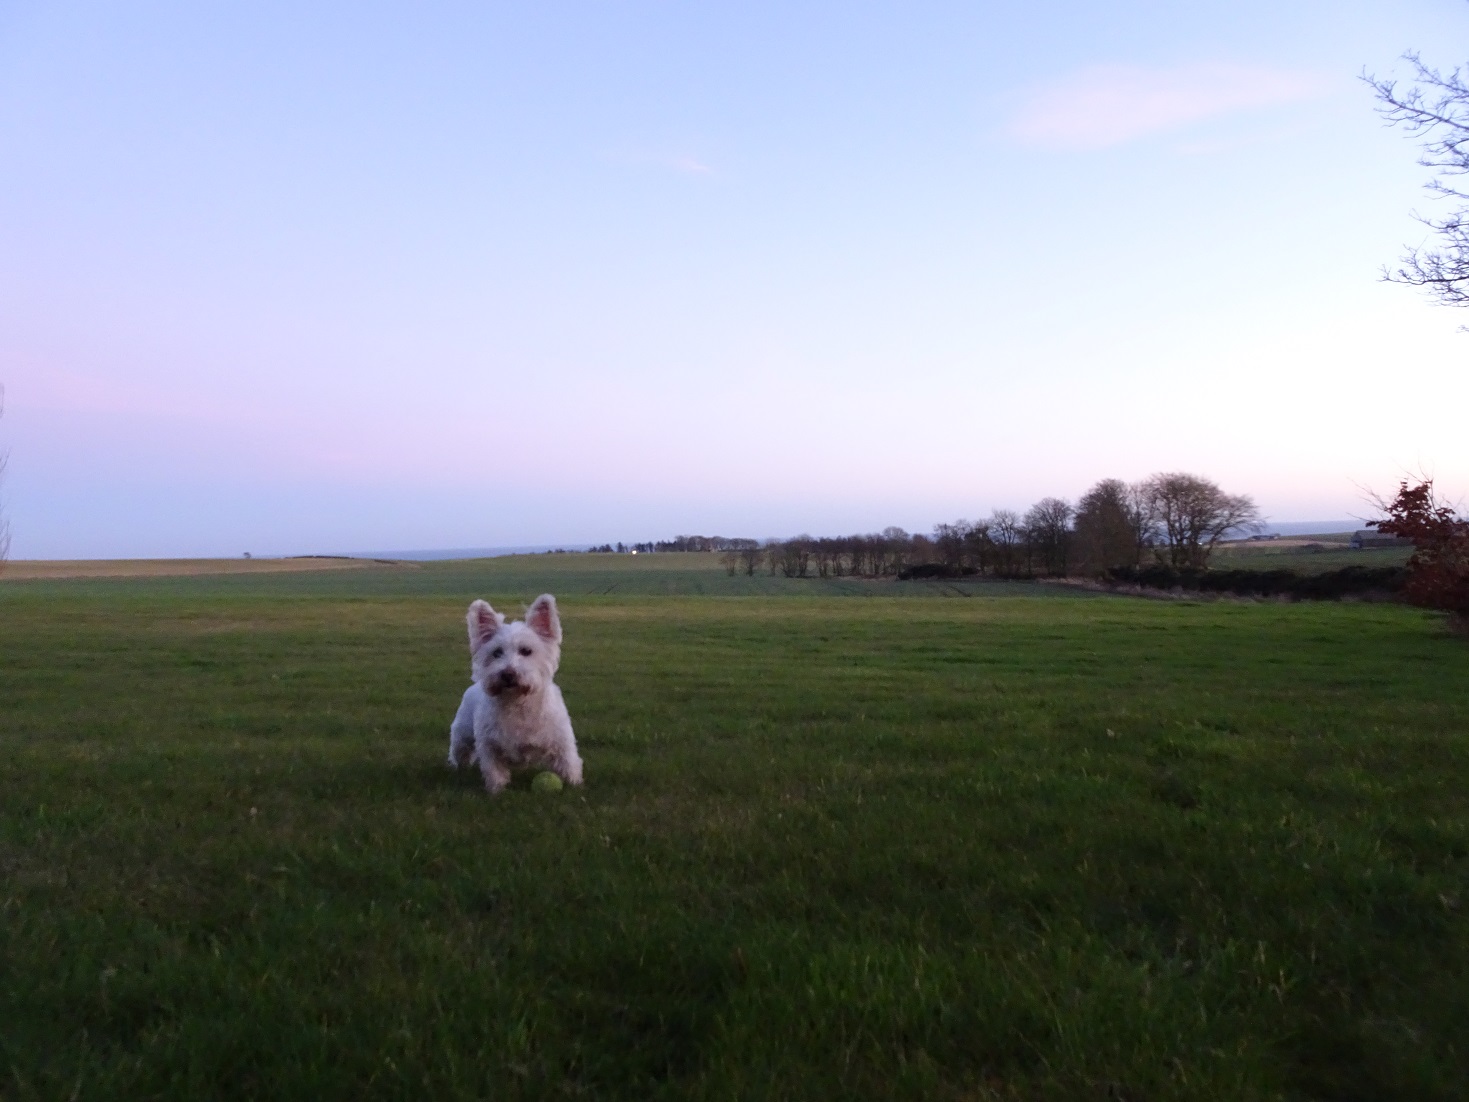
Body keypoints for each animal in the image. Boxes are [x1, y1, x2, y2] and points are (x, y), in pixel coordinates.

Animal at [446, 596, 584, 793]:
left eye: (526, 651)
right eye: (496, 652)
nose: (507, 674)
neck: (517, 703)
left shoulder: (561, 741)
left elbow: (569, 764)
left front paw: (575, 786)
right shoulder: (489, 746)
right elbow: (494, 771)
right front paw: (496, 791)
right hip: (462, 733)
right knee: (459, 752)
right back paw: (457, 768)